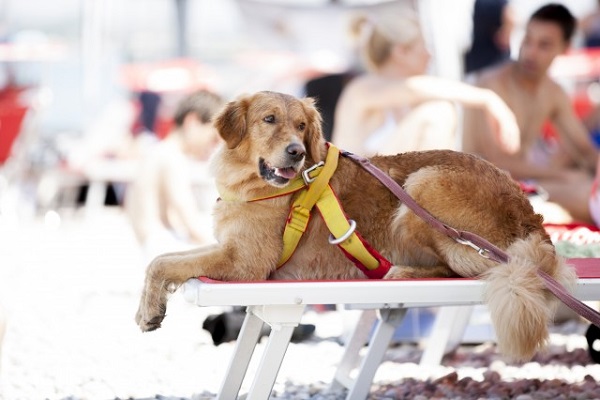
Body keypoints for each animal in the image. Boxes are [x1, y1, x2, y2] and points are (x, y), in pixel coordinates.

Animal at [136, 90, 576, 362]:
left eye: (301, 126)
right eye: (269, 119)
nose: (295, 153)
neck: (253, 185)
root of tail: (530, 214)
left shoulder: (246, 262)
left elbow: (163, 262)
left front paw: (149, 310)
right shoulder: (228, 248)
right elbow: (161, 258)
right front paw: (149, 307)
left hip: (422, 185)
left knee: (461, 268)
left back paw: (401, 272)